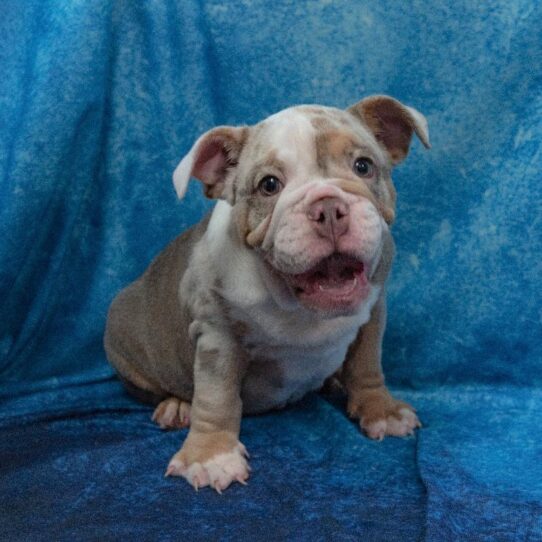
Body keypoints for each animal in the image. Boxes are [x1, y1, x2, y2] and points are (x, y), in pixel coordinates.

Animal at [104, 95, 432, 496]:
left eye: (363, 166)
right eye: (269, 185)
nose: (328, 208)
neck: (297, 304)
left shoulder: (373, 312)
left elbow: (367, 365)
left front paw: (380, 410)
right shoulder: (218, 336)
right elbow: (216, 396)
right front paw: (210, 455)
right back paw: (177, 406)